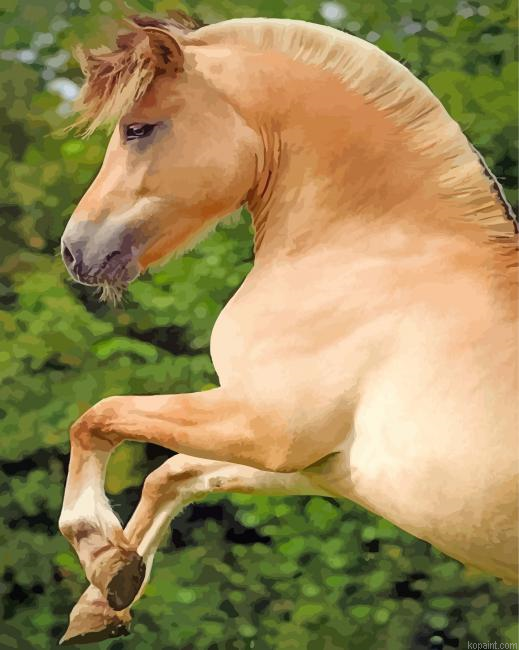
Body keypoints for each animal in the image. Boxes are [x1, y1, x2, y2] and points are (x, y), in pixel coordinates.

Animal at [57, 13, 518, 644]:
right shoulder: (316, 465)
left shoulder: (267, 427)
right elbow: (171, 475)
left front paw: (101, 556)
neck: (365, 250)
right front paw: (104, 598)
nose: (74, 251)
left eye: (138, 129)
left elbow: (97, 419)